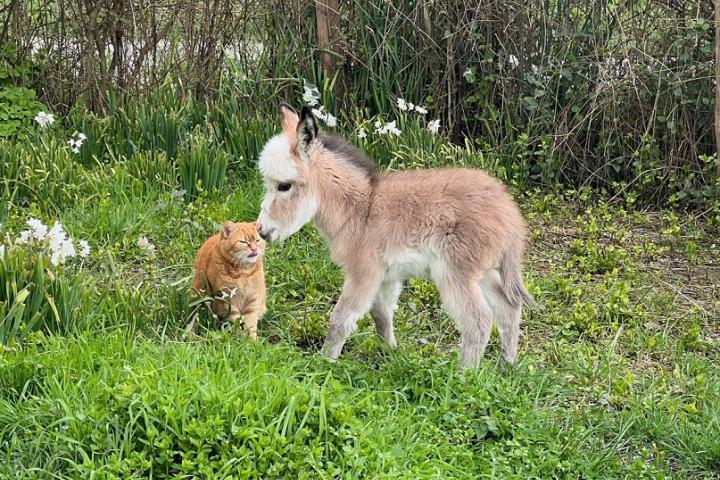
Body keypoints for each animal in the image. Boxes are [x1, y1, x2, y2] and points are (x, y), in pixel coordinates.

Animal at [256, 104, 532, 368]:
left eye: (284, 186)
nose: (260, 230)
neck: (360, 210)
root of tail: (510, 214)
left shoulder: (363, 273)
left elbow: (341, 320)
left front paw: (323, 363)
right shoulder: (387, 276)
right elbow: (381, 315)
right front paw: (390, 354)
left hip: (455, 273)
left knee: (479, 321)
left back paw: (464, 376)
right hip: (482, 271)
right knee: (508, 307)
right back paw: (506, 367)